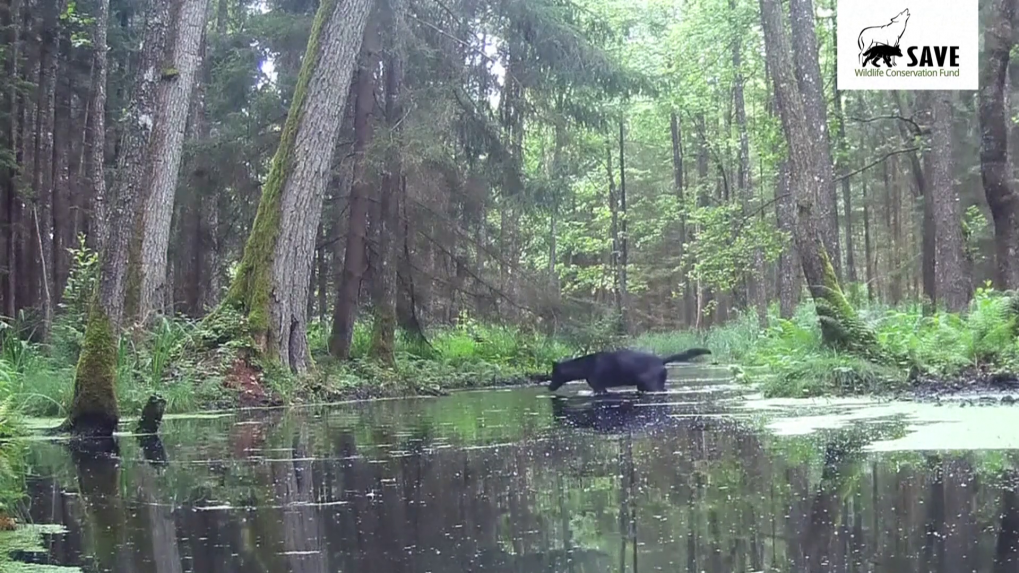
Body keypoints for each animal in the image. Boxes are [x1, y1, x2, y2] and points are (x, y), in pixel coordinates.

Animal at [550, 346, 709, 395]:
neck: (584, 367)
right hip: (642, 386)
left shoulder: (599, 387)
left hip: (654, 386)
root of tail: (661, 360)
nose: (549, 387)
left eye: (553, 374)